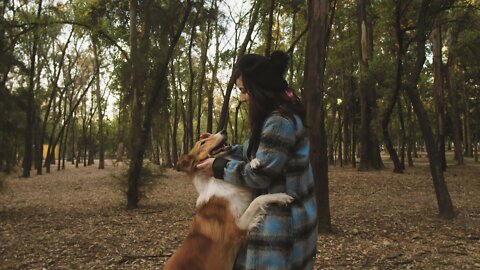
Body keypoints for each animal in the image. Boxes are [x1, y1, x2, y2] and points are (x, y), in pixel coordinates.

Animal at [164, 130, 292, 268]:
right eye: (202, 143)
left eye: (208, 136)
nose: (223, 131)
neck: (214, 179)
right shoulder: (236, 229)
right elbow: (257, 200)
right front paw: (281, 196)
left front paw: (254, 162)